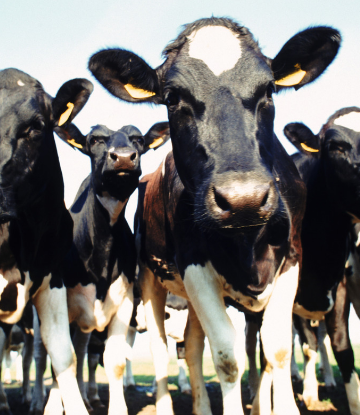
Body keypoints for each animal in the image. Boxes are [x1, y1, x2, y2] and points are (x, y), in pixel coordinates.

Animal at [88, 17, 340, 415]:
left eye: (269, 89)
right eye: (172, 98)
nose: (243, 199)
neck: (246, 243)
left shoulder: (291, 259)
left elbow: (277, 350)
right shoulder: (194, 266)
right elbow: (226, 355)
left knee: (191, 345)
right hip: (150, 279)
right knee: (161, 349)